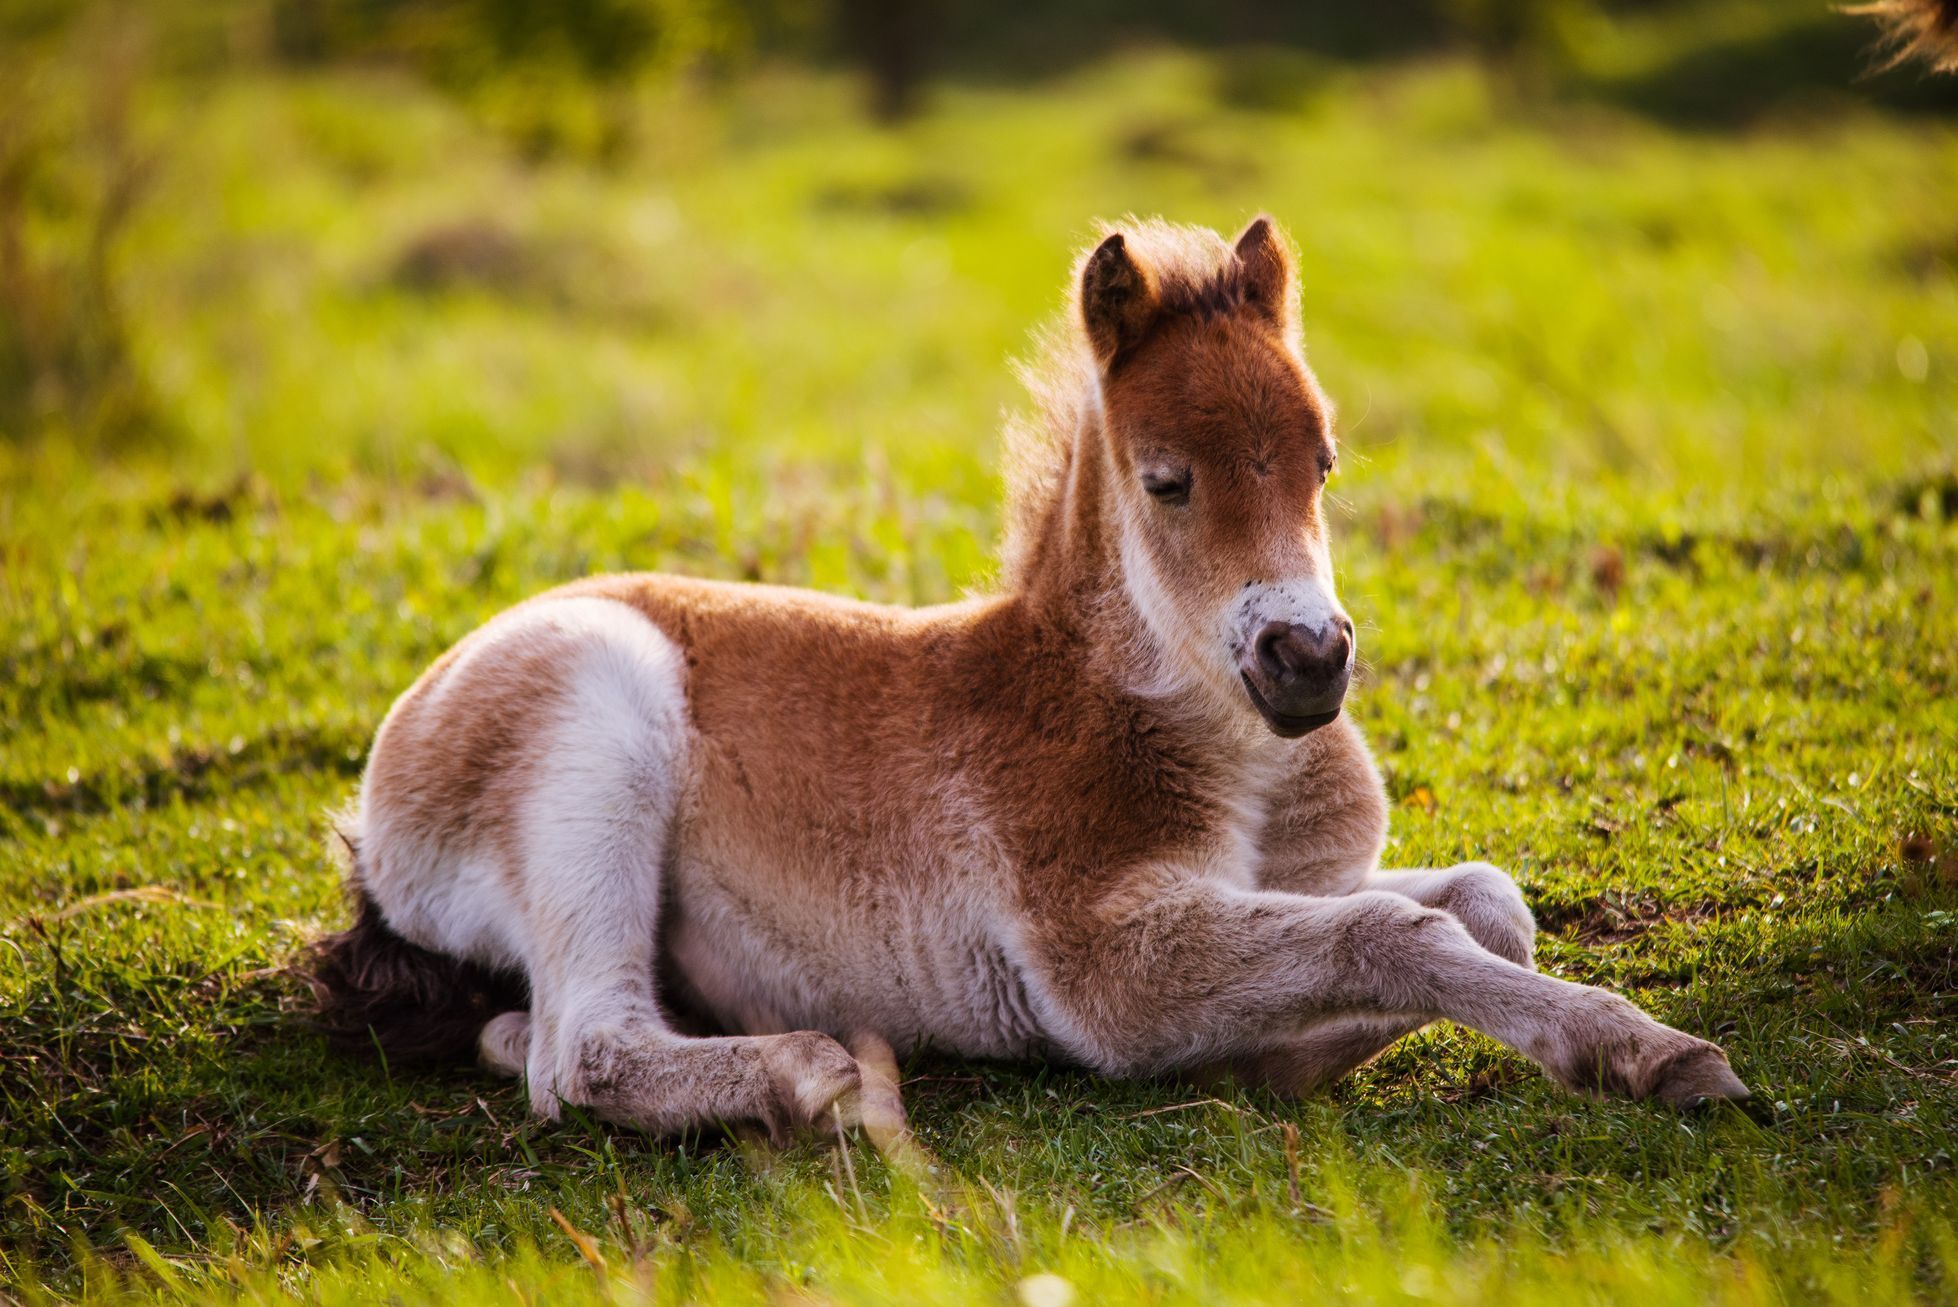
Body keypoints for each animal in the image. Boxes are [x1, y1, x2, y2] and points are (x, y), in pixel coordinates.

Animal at [313, 217, 1754, 1142]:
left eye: (1323, 461)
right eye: (1166, 479)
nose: (1306, 658)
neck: (1203, 742)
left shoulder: (1280, 885)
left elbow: (1478, 906)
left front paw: (1280, 1055)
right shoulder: (1102, 951)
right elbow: (1390, 932)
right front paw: (1651, 1052)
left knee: (540, 1035)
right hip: (594, 725)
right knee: (587, 1049)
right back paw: (815, 1075)